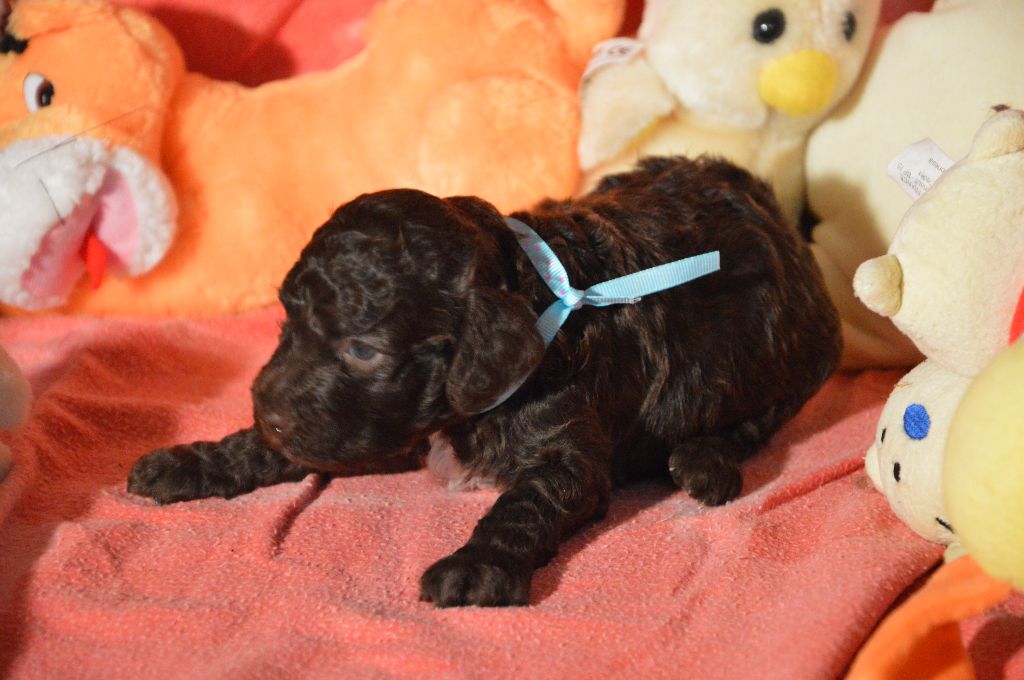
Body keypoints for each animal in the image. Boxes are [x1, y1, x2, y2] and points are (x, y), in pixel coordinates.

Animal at [128, 155, 842, 607]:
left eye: (362, 350)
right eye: (286, 321)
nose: (268, 409)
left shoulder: (566, 450)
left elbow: (524, 504)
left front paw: (475, 568)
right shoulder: (383, 427)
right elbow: (283, 448)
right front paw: (192, 461)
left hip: (782, 353)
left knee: (759, 418)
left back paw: (704, 461)